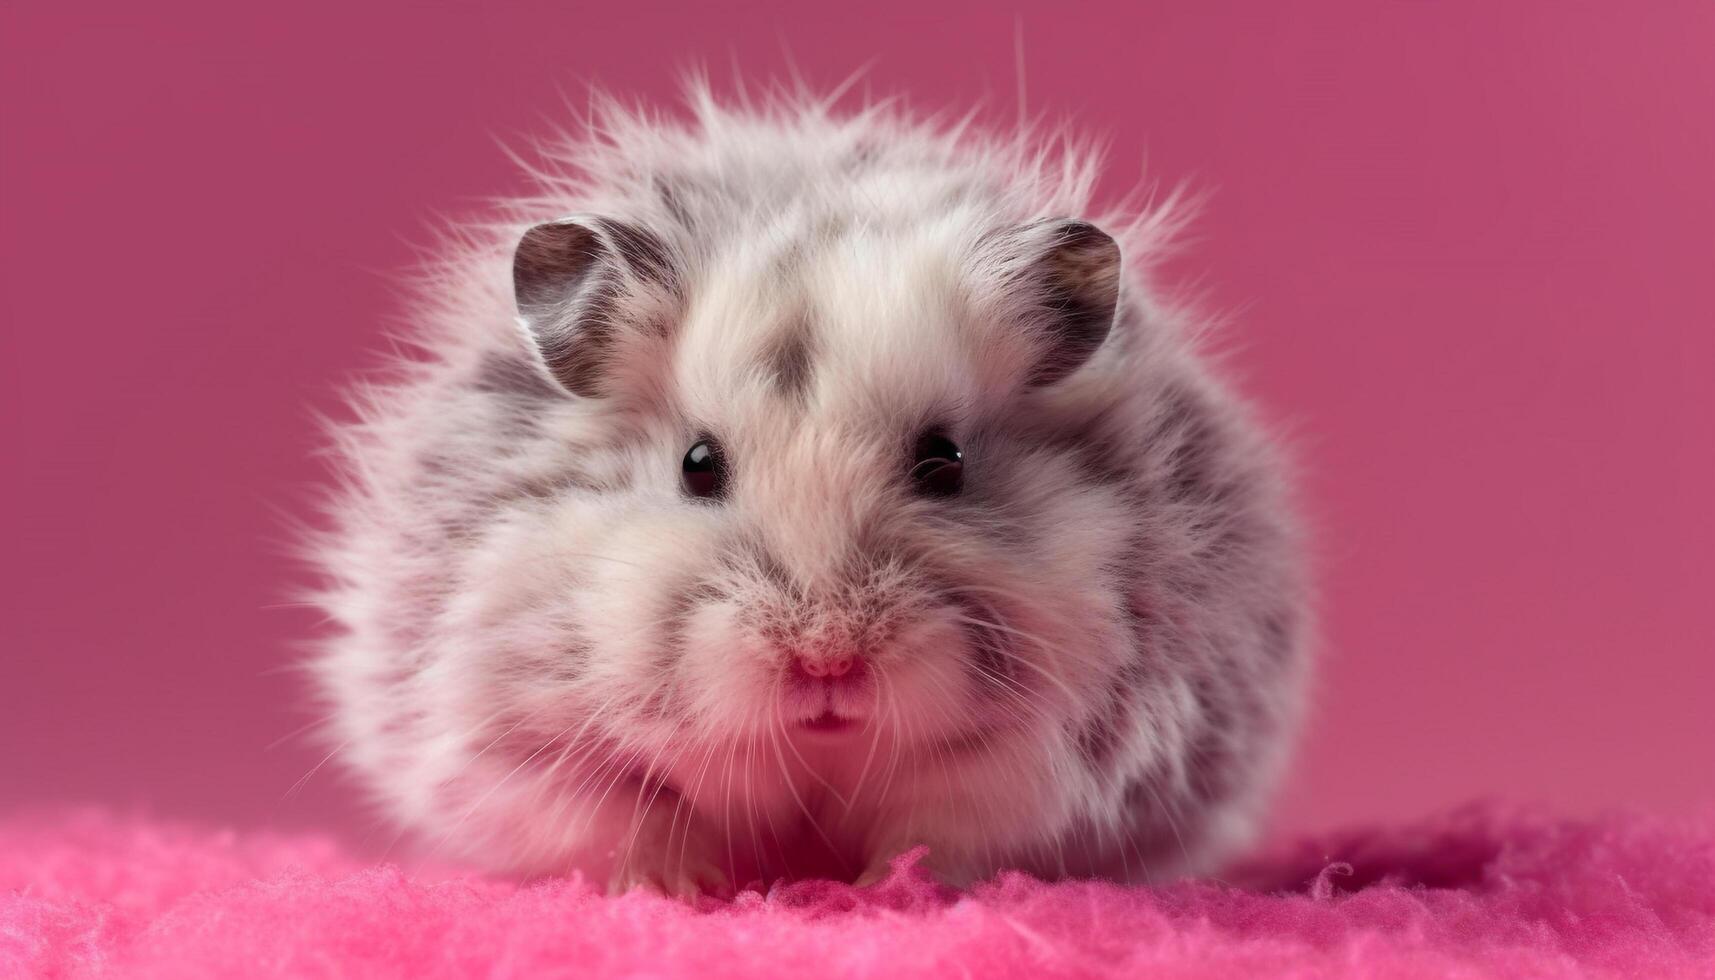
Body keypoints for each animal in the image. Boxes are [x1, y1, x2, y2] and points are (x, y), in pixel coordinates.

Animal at [308, 84, 1303, 899]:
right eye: (697, 464)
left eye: (944, 461)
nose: (826, 663)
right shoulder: (520, 740)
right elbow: (634, 818)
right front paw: (683, 889)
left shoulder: (1052, 757)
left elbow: (947, 828)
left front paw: (886, 890)